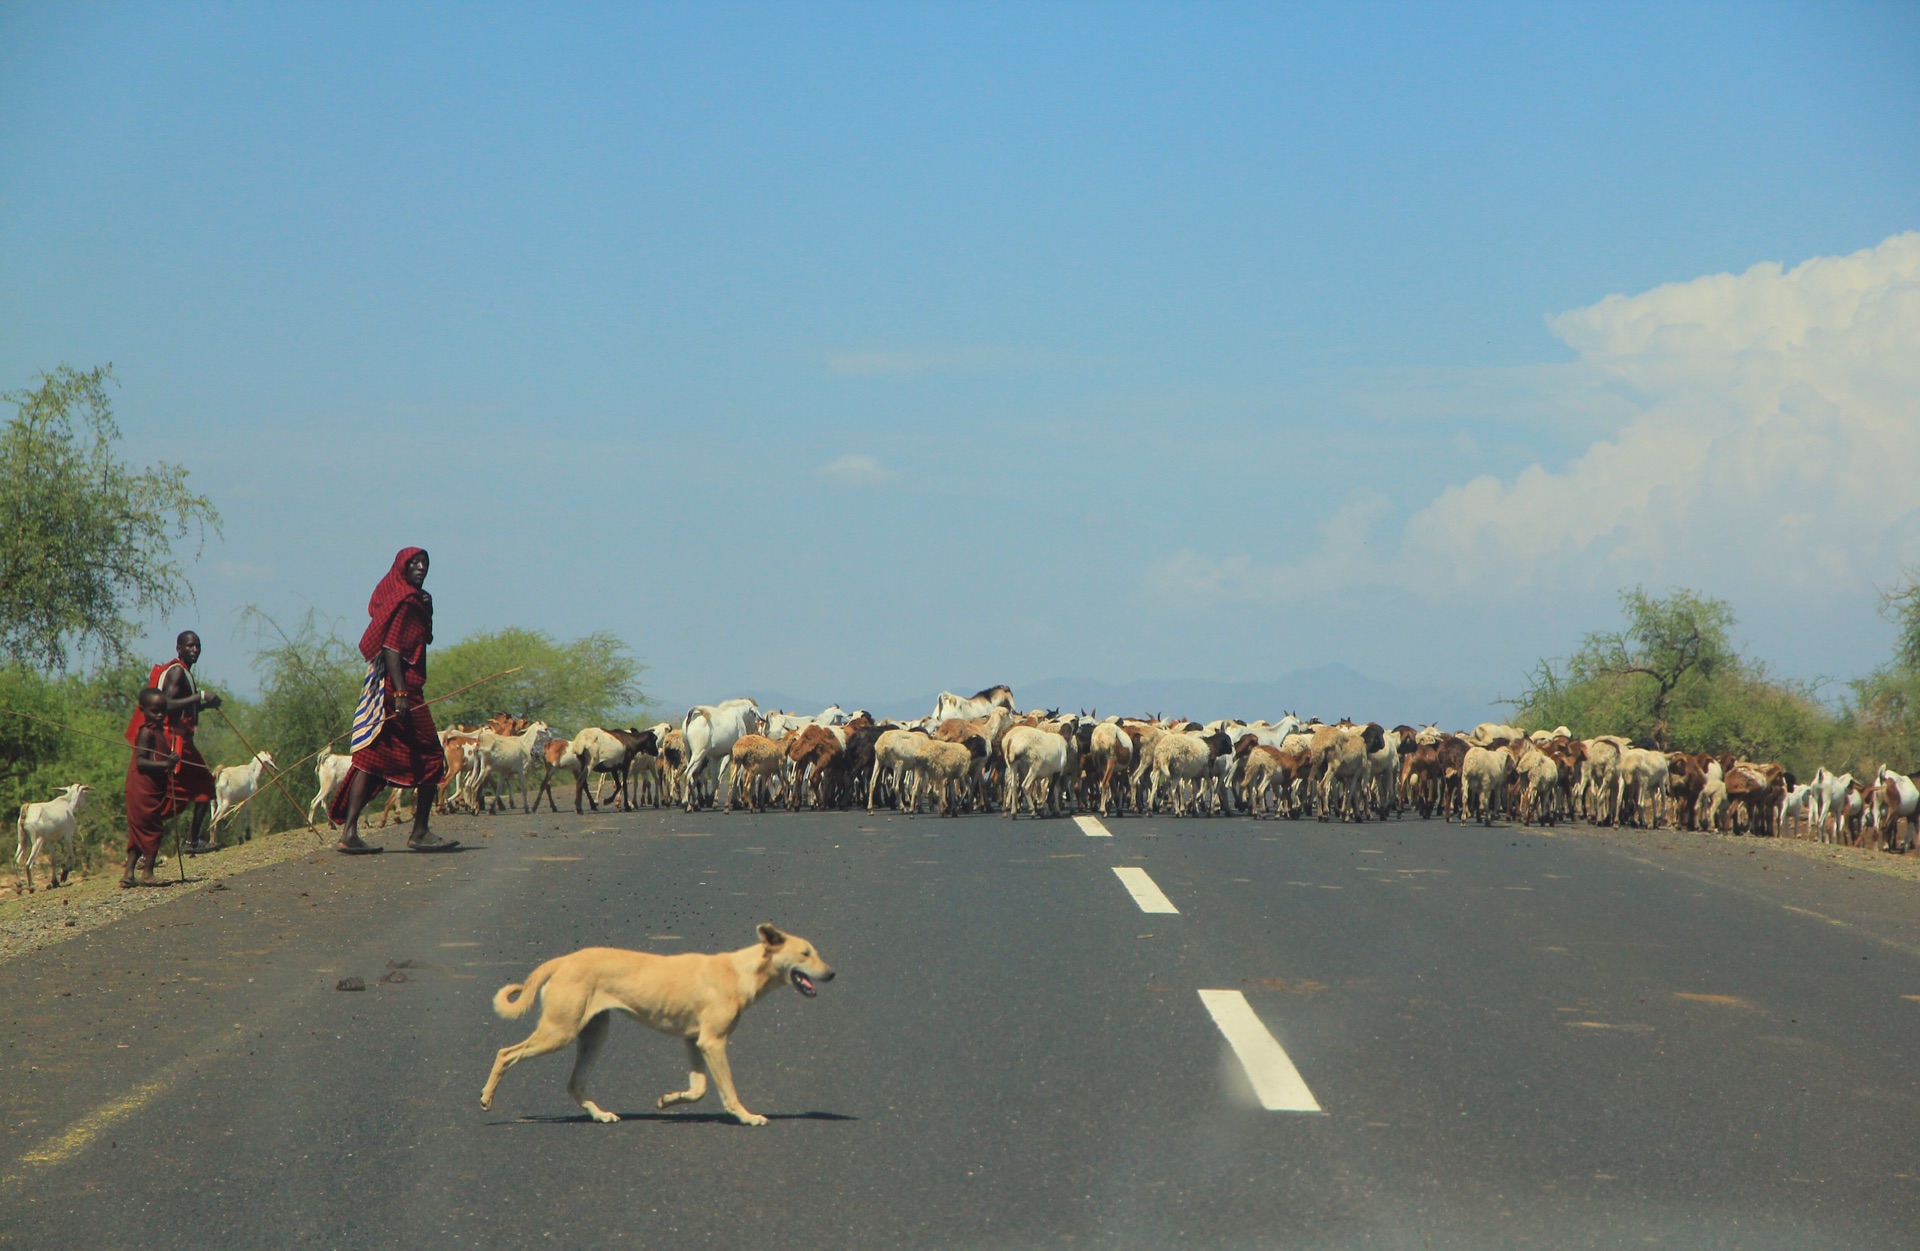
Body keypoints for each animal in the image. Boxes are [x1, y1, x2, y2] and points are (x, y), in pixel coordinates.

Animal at [480, 924, 833, 1128]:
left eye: (815, 953)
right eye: (805, 953)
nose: (832, 974)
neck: (741, 971)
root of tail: (564, 960)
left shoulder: (695, 1041)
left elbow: (699, 1089)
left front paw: (669, 1100)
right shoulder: (713, 1042)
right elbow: (727, 1090)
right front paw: (747, 1116)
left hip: (594, 1034)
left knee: (574, 1083)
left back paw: (600, 1114)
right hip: (559, 1032)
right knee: (505, 1053)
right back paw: (486, 1098)